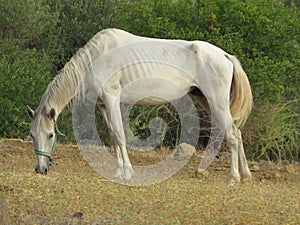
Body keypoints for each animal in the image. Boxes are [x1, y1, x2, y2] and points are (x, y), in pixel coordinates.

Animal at [27, 27, 253, 183]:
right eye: (32, 135)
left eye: (51, 135)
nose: (40, 169)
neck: (95, 58)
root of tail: (225, 56)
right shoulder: (103, 105)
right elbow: (112, 136)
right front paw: (118, 172)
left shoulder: (112, 98)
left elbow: (119, 135)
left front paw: (128, 173)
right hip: (205, 99)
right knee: (236, 132)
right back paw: (245, 174)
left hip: (217, 101)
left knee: (232, 134)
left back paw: (233, 178)